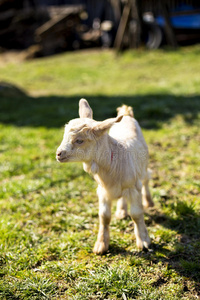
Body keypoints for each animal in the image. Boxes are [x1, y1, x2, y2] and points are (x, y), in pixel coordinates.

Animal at [56, 99, 153, 254]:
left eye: (79, 140)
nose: (58, 154)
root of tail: (126, 114)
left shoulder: (133, 187)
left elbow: (136, 214)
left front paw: (144, 242)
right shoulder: (102, 191)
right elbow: (104, 217)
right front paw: (101, 245)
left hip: (142, 169)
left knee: (147, 178)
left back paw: (149, 202)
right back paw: (121, 211)